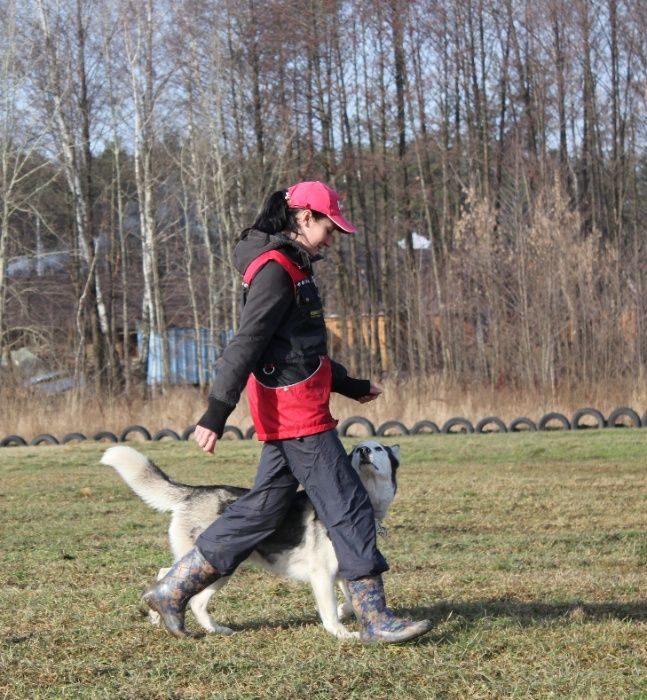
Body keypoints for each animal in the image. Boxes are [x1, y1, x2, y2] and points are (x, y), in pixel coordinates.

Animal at [100, 442, 400, 640]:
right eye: (356, 450)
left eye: (378, 448)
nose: (364, 451)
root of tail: (195, 491)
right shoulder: (322, 576)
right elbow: (330, 613)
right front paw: (341, 634)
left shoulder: (344, 574)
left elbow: (350, 603)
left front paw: (348, 612)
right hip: (218, 562)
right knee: (168, 577)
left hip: (221, 570)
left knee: (189, 595)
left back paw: (204, 626)